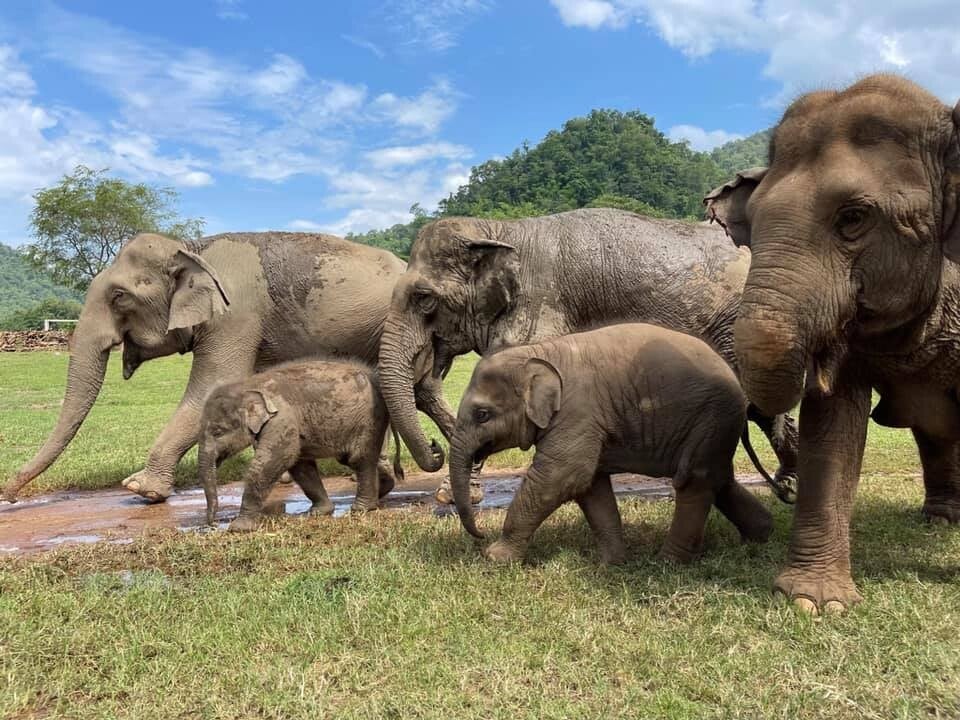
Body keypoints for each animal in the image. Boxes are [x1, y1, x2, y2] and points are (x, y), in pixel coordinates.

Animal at [3, 231, 450, 503]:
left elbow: (212, 386)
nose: (9, 492)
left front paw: (141, 488)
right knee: (417, 390)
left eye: (118, 296)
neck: (190, 248)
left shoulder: (235, 315)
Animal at [200, 359, 402, 532]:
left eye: (218, 432)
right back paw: (382, 491)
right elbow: (300, 464)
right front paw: (319, 512)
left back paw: (362, 508)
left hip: (369, 419)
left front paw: (238, 528)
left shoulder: (282, 420)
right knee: (354, 459)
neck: (248, 385)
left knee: (359, 459)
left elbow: (273, 461)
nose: (213, 524)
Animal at [378, 207, 800, 503]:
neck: (500, 229)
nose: (435, 449)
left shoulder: (540, 309)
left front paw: (452, 495)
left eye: (423, 298)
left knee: (759, 406)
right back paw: (787, 483)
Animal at [447, 323, 775, 563]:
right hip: (716, 425)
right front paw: (610, 563)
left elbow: (561, 476)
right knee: (720, 480)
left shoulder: (577, 412)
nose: (480, 534)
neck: (537, 352)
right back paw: (758, 539)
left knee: (694, 479)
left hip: (711, 417)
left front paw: (495, 558)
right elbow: (590, 486)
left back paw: (668, 562)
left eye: (482, 415)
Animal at [703, 73, 960, 614]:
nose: (783, 488)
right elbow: (832, 421)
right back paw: (942, 518)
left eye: (854, 217)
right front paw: (813, 604)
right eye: (753, 221)